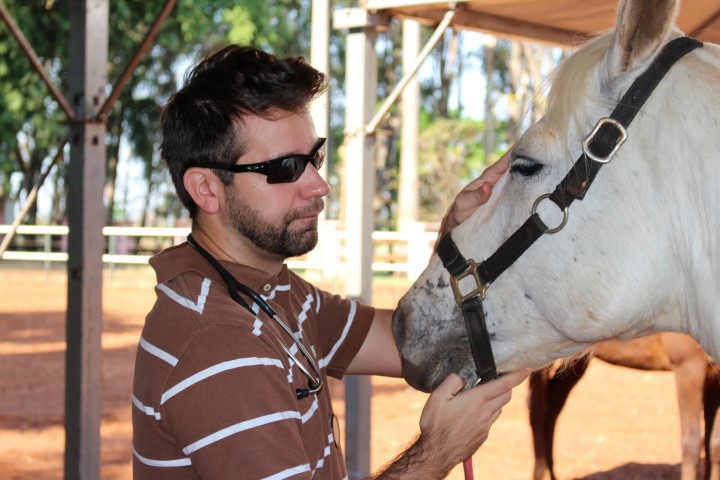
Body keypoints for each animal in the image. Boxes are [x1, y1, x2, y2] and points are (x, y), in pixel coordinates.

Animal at [530, 332, 720, 480]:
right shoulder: (688, 370)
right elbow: (691, 443)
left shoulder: (715, 381)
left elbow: (713, 445)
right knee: (538, 411)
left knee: (553, 402)